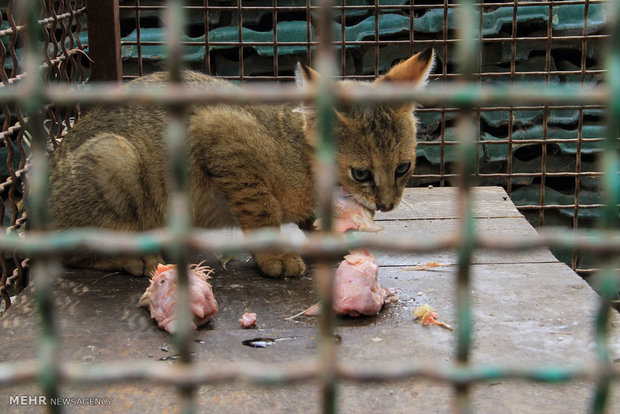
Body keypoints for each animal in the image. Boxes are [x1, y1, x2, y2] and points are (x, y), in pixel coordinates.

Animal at [48, 48, 434, 278]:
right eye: (361, 173)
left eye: (403, 168)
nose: (387, 205)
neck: (301, 155)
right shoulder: (218, 133)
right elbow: (262, 209)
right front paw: (275, 256)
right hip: (114, 154)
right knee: (72, 251)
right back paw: (135, 257)